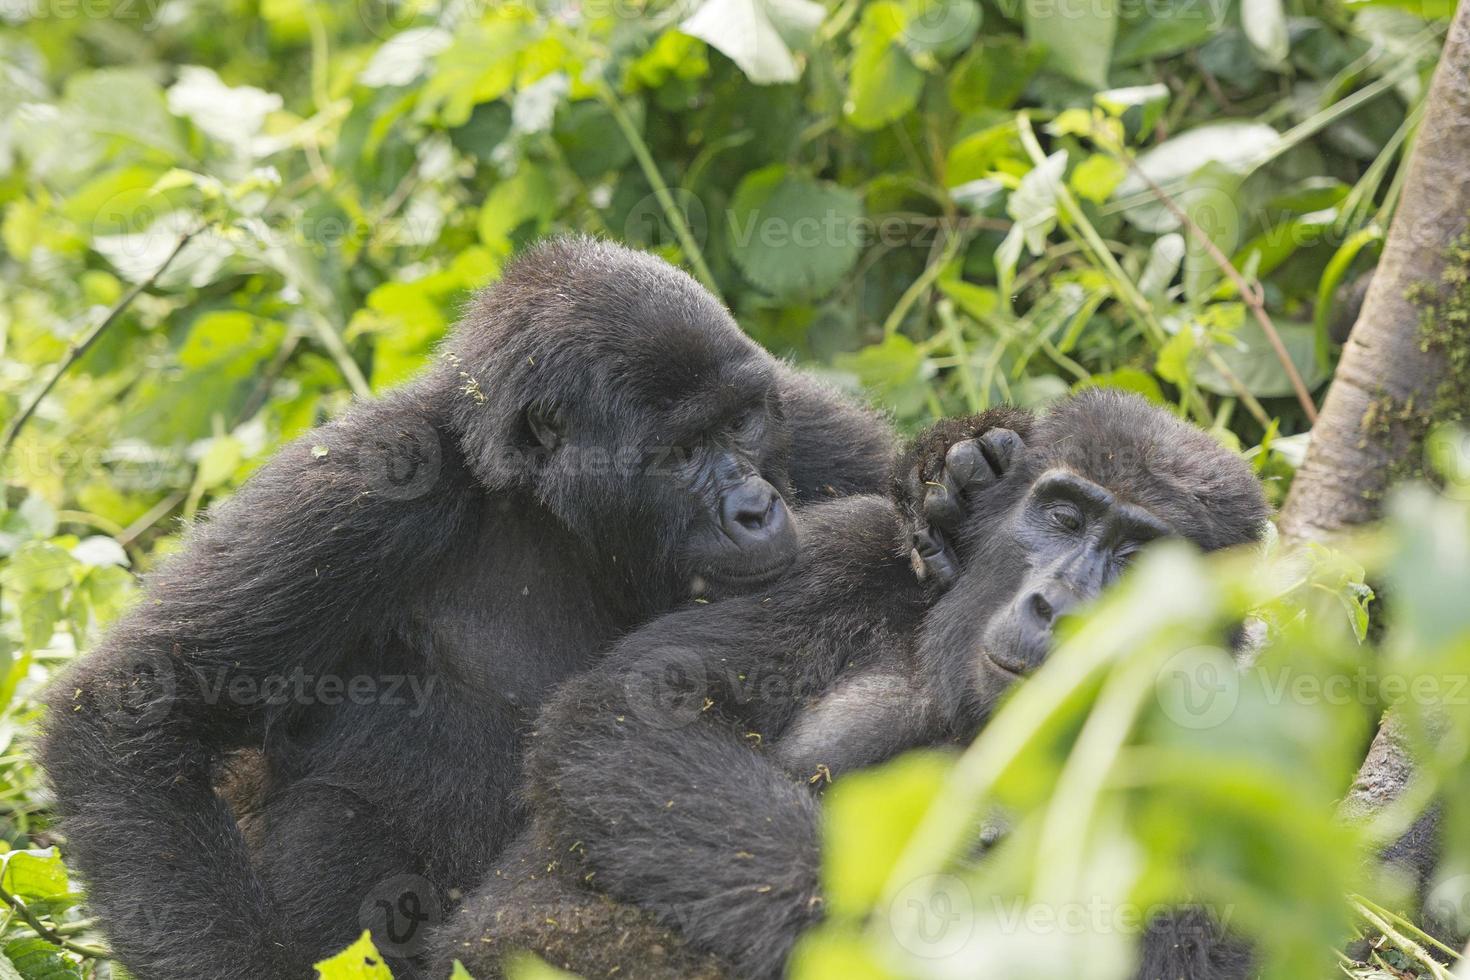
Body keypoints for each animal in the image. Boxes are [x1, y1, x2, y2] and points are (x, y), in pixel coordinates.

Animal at [37, 238, 917, 980]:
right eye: (681, 453)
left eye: (742, 422)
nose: (757, 509)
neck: (544, 505)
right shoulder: (364, 482)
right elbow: (139, 705)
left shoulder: (815, 429)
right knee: (331, 822)